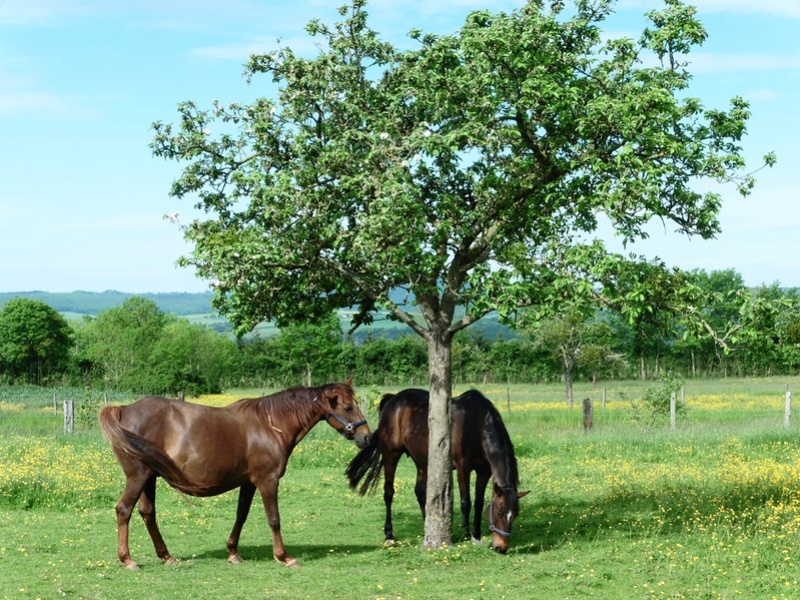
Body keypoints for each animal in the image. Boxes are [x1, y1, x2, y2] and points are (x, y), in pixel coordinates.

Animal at [101, 382, 372, 568]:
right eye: (348, 407)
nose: (367, 437)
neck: (270, 425)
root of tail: (124, 409)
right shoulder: (267, 481)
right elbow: (274, 518)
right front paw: (284, 556)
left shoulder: (248, 483)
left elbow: (241, 515)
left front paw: (233, 552)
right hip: (138, 477)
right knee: (124, 510)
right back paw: (128, 560)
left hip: (150, 478)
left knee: (147, 513)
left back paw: (166, 556)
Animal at [344, 390, 524, 552]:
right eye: (499, 513)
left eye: (515, 514)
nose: (501, 548)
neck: (475, 423)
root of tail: (392, 399)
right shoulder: (463, 468)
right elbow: (466, 502)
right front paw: (466, 535)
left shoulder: (484, 471)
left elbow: (479, 503)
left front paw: (476, 535)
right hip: (391, 455)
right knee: (388, 493)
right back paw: (389, 535)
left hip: (422, 461)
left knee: (419, 492)